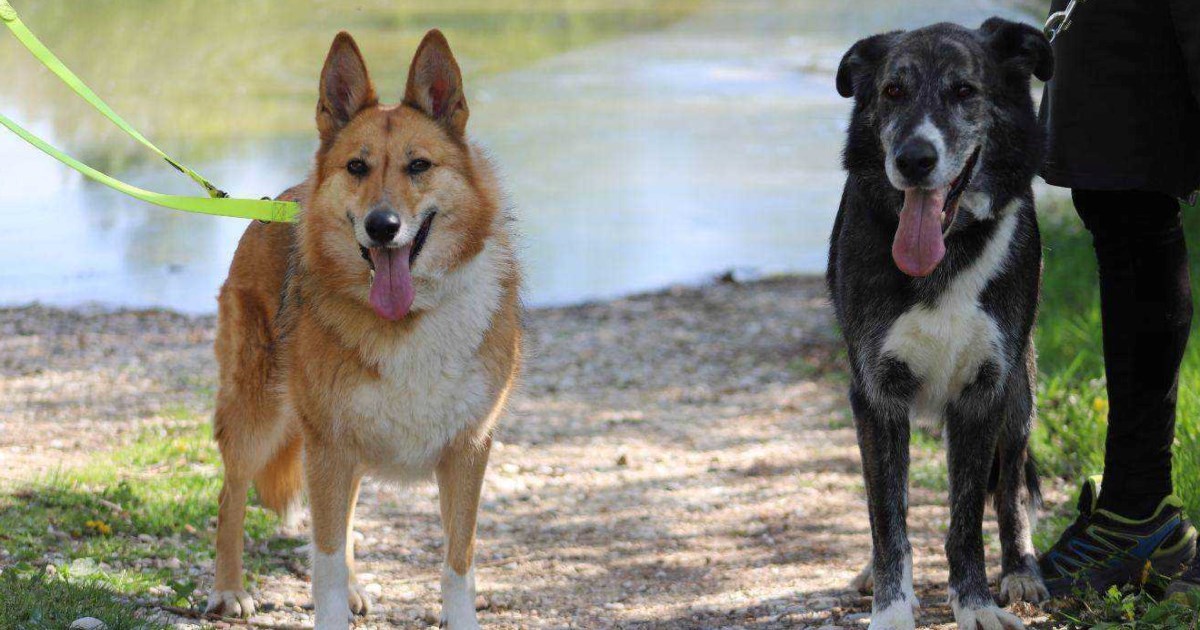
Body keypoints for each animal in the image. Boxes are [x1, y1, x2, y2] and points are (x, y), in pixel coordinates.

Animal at [205, 30, 520, 628]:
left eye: (419, 165)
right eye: (356, 166)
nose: (382, 226)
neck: (408, 320)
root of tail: (281, 198)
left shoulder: (466, 451)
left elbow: (458, 561)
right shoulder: (328, 446)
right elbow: (324, 562)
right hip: (259, 415)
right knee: (231, 498)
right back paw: (229, 590)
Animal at [830, 17, 1056, 624]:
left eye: (963, 90)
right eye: (892, 90)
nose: (914, 159)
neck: (948, 250)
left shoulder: (983, 392)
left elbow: (967, 517)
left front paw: (974, 604)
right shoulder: (876, 395)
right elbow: (888, 518)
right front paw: (891, 610)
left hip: (1020, 395)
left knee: (1009, 490)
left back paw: (1021, 570)